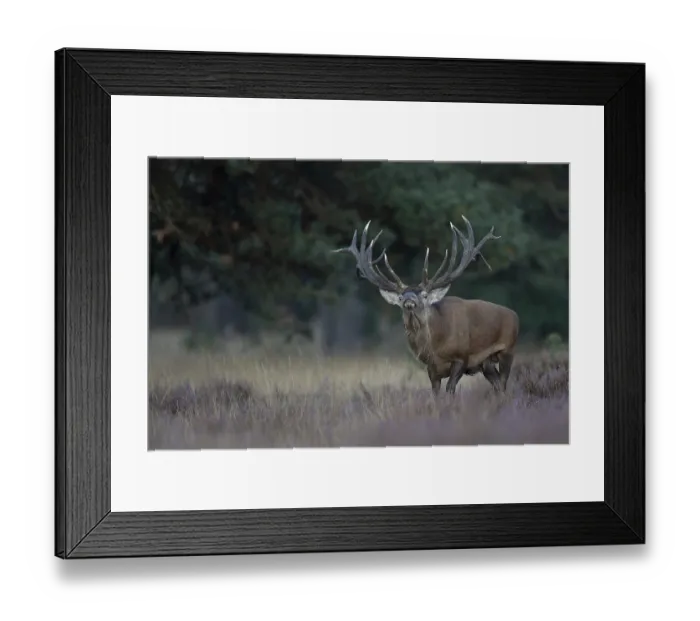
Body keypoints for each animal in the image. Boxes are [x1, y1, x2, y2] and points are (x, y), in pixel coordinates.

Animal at [332, 216, 519, 396]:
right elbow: (435, 394)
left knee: (503, 384)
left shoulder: (461, 357)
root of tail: (515, 315)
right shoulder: (431, 368)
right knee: (498, 386)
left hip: (508, 350)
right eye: (400, 297)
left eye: (424, 295)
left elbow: (450, 390)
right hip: (486, 364)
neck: (435, 347)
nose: (409, 300)